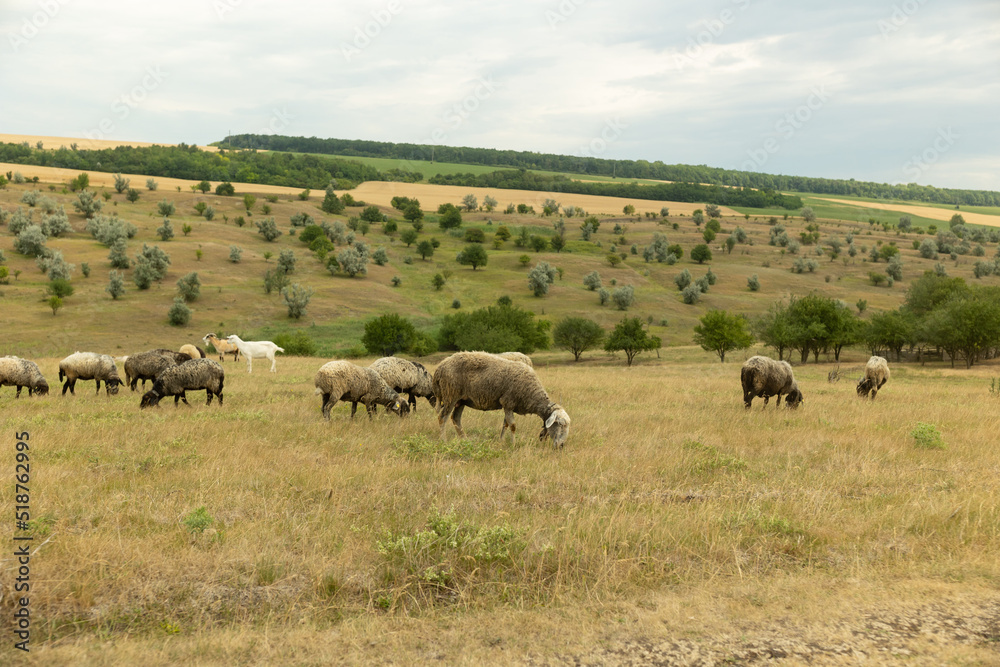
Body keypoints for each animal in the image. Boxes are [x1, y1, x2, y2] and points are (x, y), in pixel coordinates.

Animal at [432, 352, 572, 452]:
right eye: (560, 424)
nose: (561, 446)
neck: (531, 392)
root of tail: (440, 367)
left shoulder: (508, 406)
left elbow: (505, 424)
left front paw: (502, 441)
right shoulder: (508, 402)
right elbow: (513, 425)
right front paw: (513, 444)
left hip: (461, 400)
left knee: (456, 419)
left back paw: (465, 440)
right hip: (451, 395)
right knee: (442, 417)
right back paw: (443, 440)